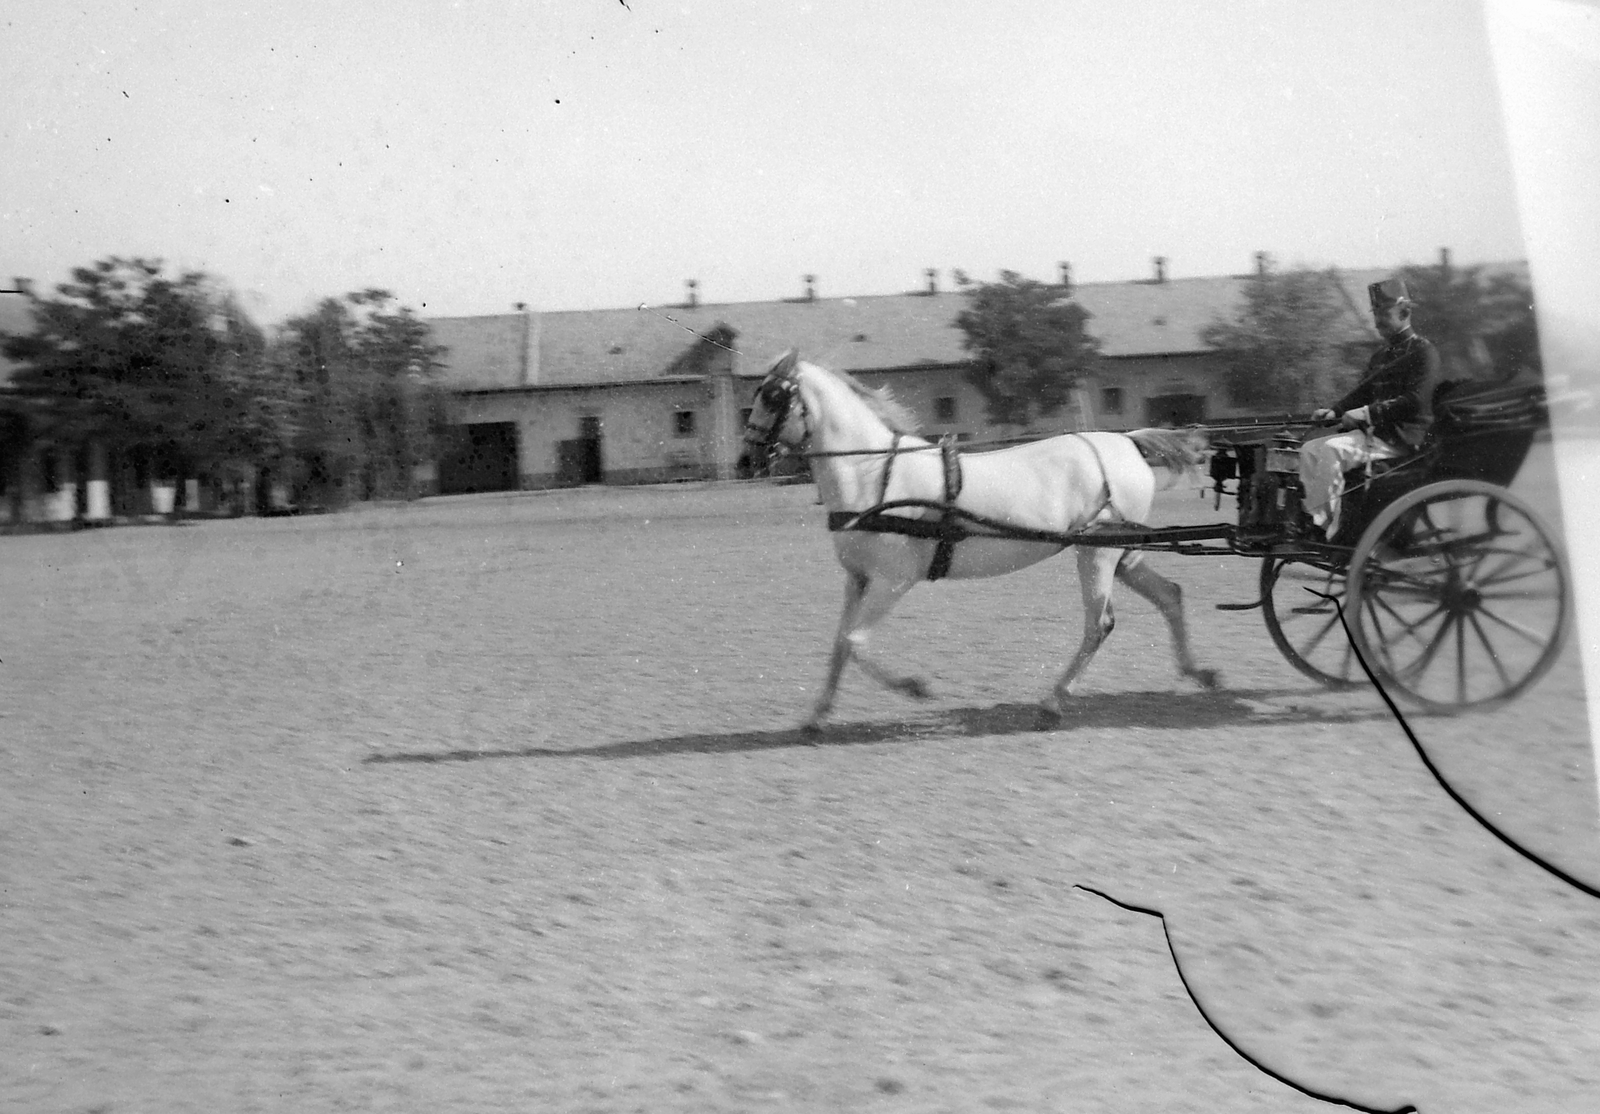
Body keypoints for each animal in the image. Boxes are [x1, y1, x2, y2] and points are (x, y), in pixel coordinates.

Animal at [740, 350, 1219, 732]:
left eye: (773, 396)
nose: (746, 459)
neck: (874, 476)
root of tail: (1127, 442)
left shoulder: (893, 581)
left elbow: (856, 643)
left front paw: (916, 687)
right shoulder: (857, 579)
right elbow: (840, 645)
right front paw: (816, 716)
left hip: (1097, 554)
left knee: (1099, 625)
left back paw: (1051, 703)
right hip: (1124, 552)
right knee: (1169, 595)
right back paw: (1199, 672)